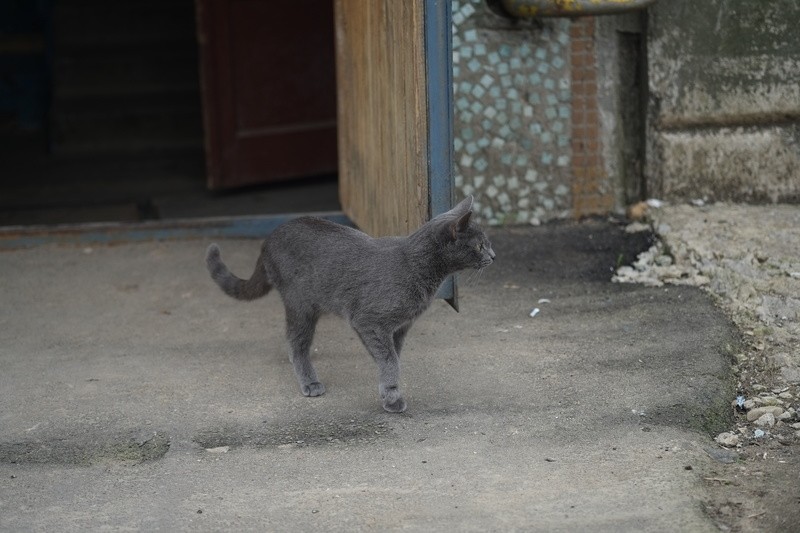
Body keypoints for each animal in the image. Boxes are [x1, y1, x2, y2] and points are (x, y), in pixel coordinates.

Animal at [206, 195, 494, 412]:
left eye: (487, 244)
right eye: (480, 246)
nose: (493, 255)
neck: (418, 266)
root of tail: (269, 238)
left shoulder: (400, 327)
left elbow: (393, 356)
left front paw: (387, 389)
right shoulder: (369, 321)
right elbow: (390, 360)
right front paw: (392, 395)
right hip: (300, 303)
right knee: (296, 341)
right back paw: (310, 382)